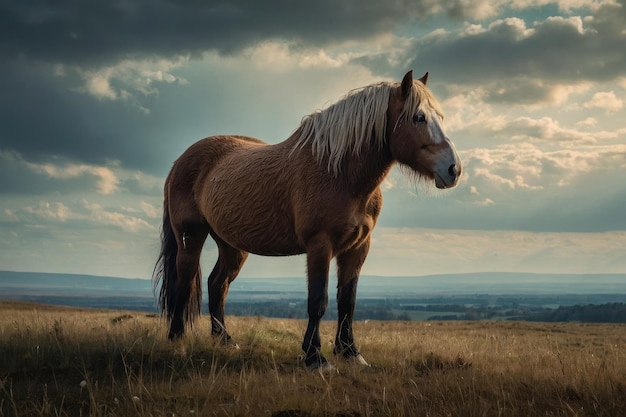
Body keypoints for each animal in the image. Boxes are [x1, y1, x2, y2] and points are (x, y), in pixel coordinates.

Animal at [154, 70, 460, 368]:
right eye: (418, 117)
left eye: (441, 117)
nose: (454, 169)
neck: (339, 173)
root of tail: (180, 161)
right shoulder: (319, 245)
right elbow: (318, 300)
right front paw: (315, 357)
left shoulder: (357, 248)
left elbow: (347, 301)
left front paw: (350, 352)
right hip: (191, 237)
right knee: (184, 282)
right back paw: (177, 340)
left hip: (232, 245)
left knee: (217, 285)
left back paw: (225, 341)